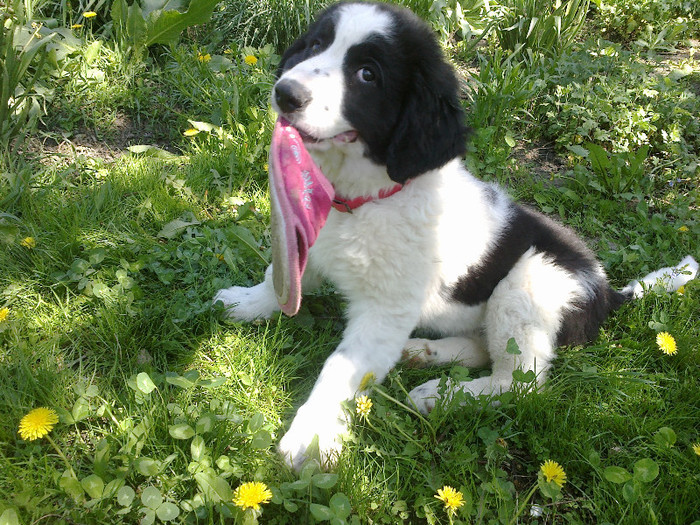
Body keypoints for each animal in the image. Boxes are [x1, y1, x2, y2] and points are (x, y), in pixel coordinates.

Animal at [216, 0, 696, 466]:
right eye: (316, 44)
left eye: (367, 74)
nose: (285, 93)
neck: (368, 199)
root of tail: (609, 291)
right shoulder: (315, 242)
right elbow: (279, 278)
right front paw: (247, 302)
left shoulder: (385, 309)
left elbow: (341, 366)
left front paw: (311, 437)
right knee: (485, 348)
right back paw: (424, 355)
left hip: (528, 283)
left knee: (520, 381)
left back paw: (443, 395)